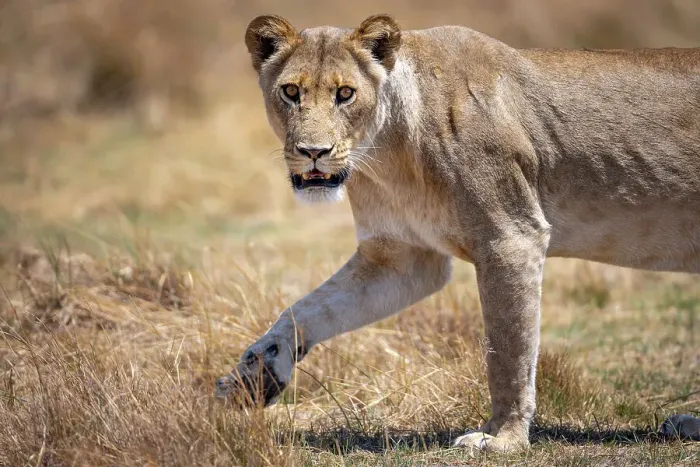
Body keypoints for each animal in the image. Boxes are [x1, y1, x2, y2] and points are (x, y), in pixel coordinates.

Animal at [216, 14, 700, 452]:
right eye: (291, 91)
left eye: (345, 93)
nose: (313, 152)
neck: (387, 154)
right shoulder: (401, 258)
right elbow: (307, 309)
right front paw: (253, 376)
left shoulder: (511, 237)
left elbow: (508, 350)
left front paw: (503, 438)